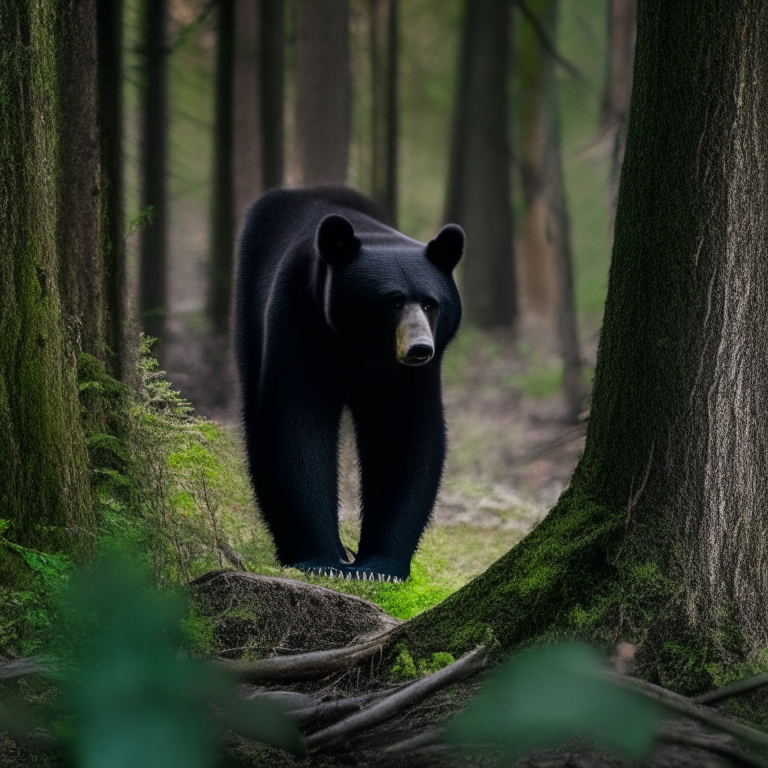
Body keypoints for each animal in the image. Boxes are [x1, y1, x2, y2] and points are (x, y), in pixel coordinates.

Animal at [236, 188, 462, 584]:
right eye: (394, 301)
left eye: (430, 303)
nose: (420, 348)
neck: (362, 348)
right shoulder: (300, 316)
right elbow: (295, 422)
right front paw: (321, 558)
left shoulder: (406, 377)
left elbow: (402, 436)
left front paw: (379, 566)